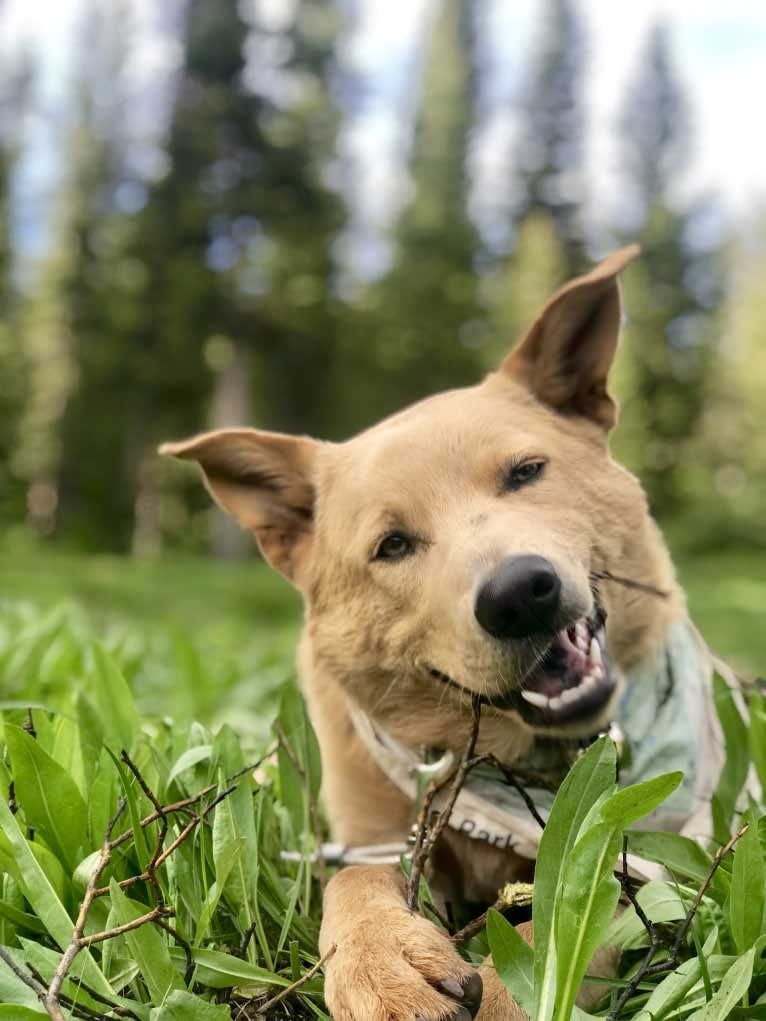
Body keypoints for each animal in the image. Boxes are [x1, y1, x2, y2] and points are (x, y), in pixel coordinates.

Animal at [162, 249, 727, 1021]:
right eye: (393, 545)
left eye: (526, 472)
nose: (518, 594)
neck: (507, 756)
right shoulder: (368, 841)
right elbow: (353, 885)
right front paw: (381, 959)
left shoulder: (637, 859)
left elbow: (553, 927)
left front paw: (503, 991)